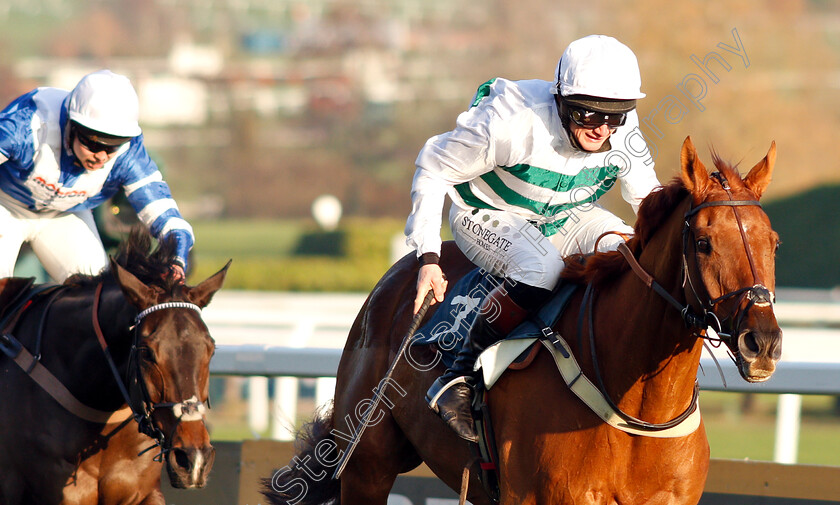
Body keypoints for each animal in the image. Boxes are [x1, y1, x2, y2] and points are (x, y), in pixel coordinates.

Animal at [266, 136, 784, 502]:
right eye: (704, 242)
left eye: (773, 242)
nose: (762, 342)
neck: (637, 407)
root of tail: (395, 277)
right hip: (367, 466)